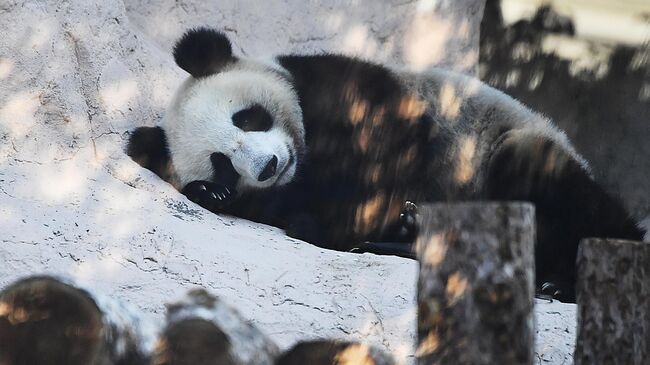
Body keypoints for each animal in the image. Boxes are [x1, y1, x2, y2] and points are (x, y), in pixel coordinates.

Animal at [126, 27, 644, 302]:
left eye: (247, 117)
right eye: (223, 164)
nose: (270, 165)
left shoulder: (348, 87)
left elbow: (391, 141)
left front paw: (344, 218)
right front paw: (212, 194)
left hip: (504, 147)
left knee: (552, 188)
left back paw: (562, 278)